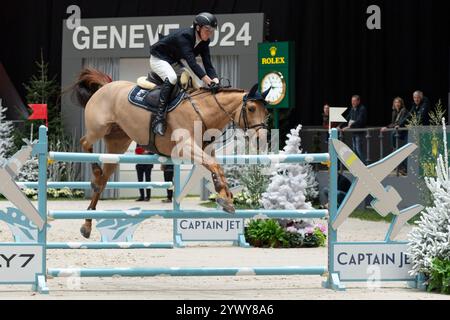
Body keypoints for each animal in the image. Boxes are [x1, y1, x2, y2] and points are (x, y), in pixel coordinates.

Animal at [71, 69, 268, 239]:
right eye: (251, 108)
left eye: (266, 112)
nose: (262, 140)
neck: (203, 110)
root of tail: (105, 86)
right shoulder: (186, 147)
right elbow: (215, 166)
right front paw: (225, 198)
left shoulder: (204, 151)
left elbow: (216, 168)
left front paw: (226, 197)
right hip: (98, 128)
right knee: (84, 142)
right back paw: (95, 174)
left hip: (117, 143)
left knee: (103, 181)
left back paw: (87, 224)